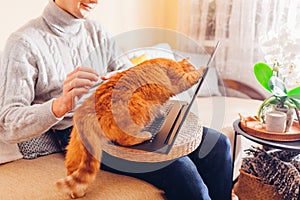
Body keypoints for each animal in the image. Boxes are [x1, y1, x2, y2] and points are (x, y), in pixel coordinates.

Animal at [55, 57, 206, 198]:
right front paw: (202, 69)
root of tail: (85, 110)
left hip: (75, 149)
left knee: (72, 169)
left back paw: (77, 192)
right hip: (138, 107)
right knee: (126, 139)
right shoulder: (181, 80)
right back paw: (145, 135)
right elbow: (193, 76)